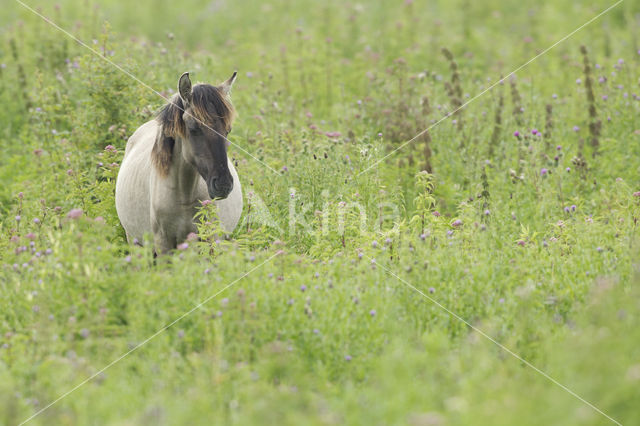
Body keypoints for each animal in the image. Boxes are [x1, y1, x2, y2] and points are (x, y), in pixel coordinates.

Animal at [115, 71, 242, 255]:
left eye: (227, 130)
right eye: (194, 128)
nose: (223, 184)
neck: (184, 196)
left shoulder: (209, 239)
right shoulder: (163, 245)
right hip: (135, 242)